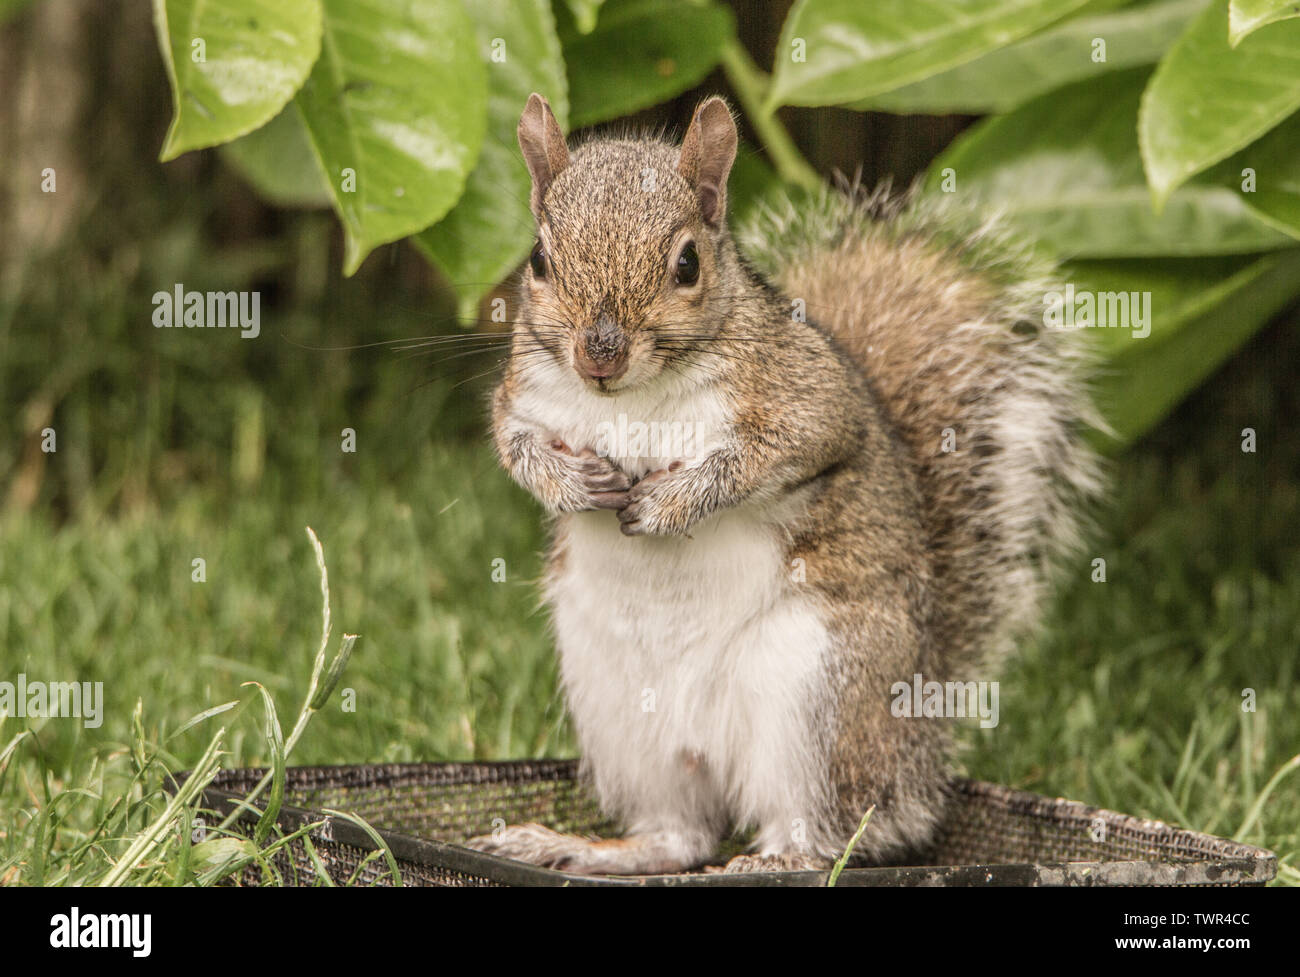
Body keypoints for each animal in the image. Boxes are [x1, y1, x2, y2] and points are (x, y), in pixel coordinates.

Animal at [467, 89, 1097, 867]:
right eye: (539, 259)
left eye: (687, 263)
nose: (599, 354)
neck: (629, 399)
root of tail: (918, 746)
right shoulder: (523, 395)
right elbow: (515, 445)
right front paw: (570, 484)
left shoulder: (808, 395)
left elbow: (772, 454)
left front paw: (674, 502)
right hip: (619, 711)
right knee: (678, 833)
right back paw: (590, 848)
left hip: (817, 699)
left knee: (828, 828)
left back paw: (775, 857)